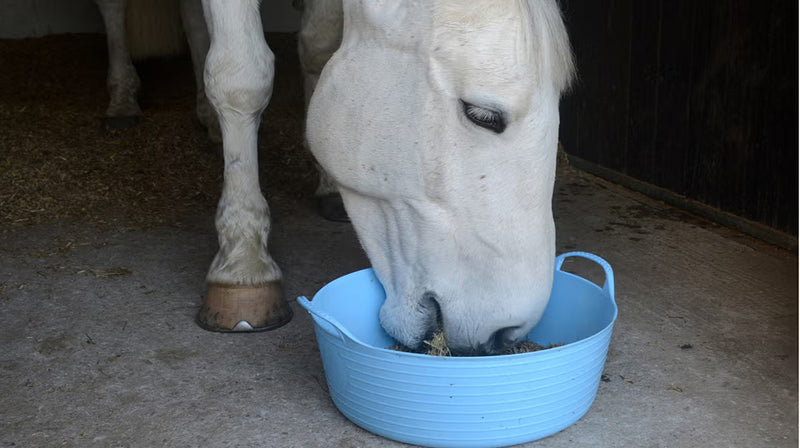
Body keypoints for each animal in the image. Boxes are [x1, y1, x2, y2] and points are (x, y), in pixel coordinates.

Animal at [100, 0, 575, 355]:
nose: (506, 333)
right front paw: (244, 261)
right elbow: (242, 78)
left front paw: (326, 182)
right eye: (483, 115)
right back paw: (122, 99)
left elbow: (319, 45)